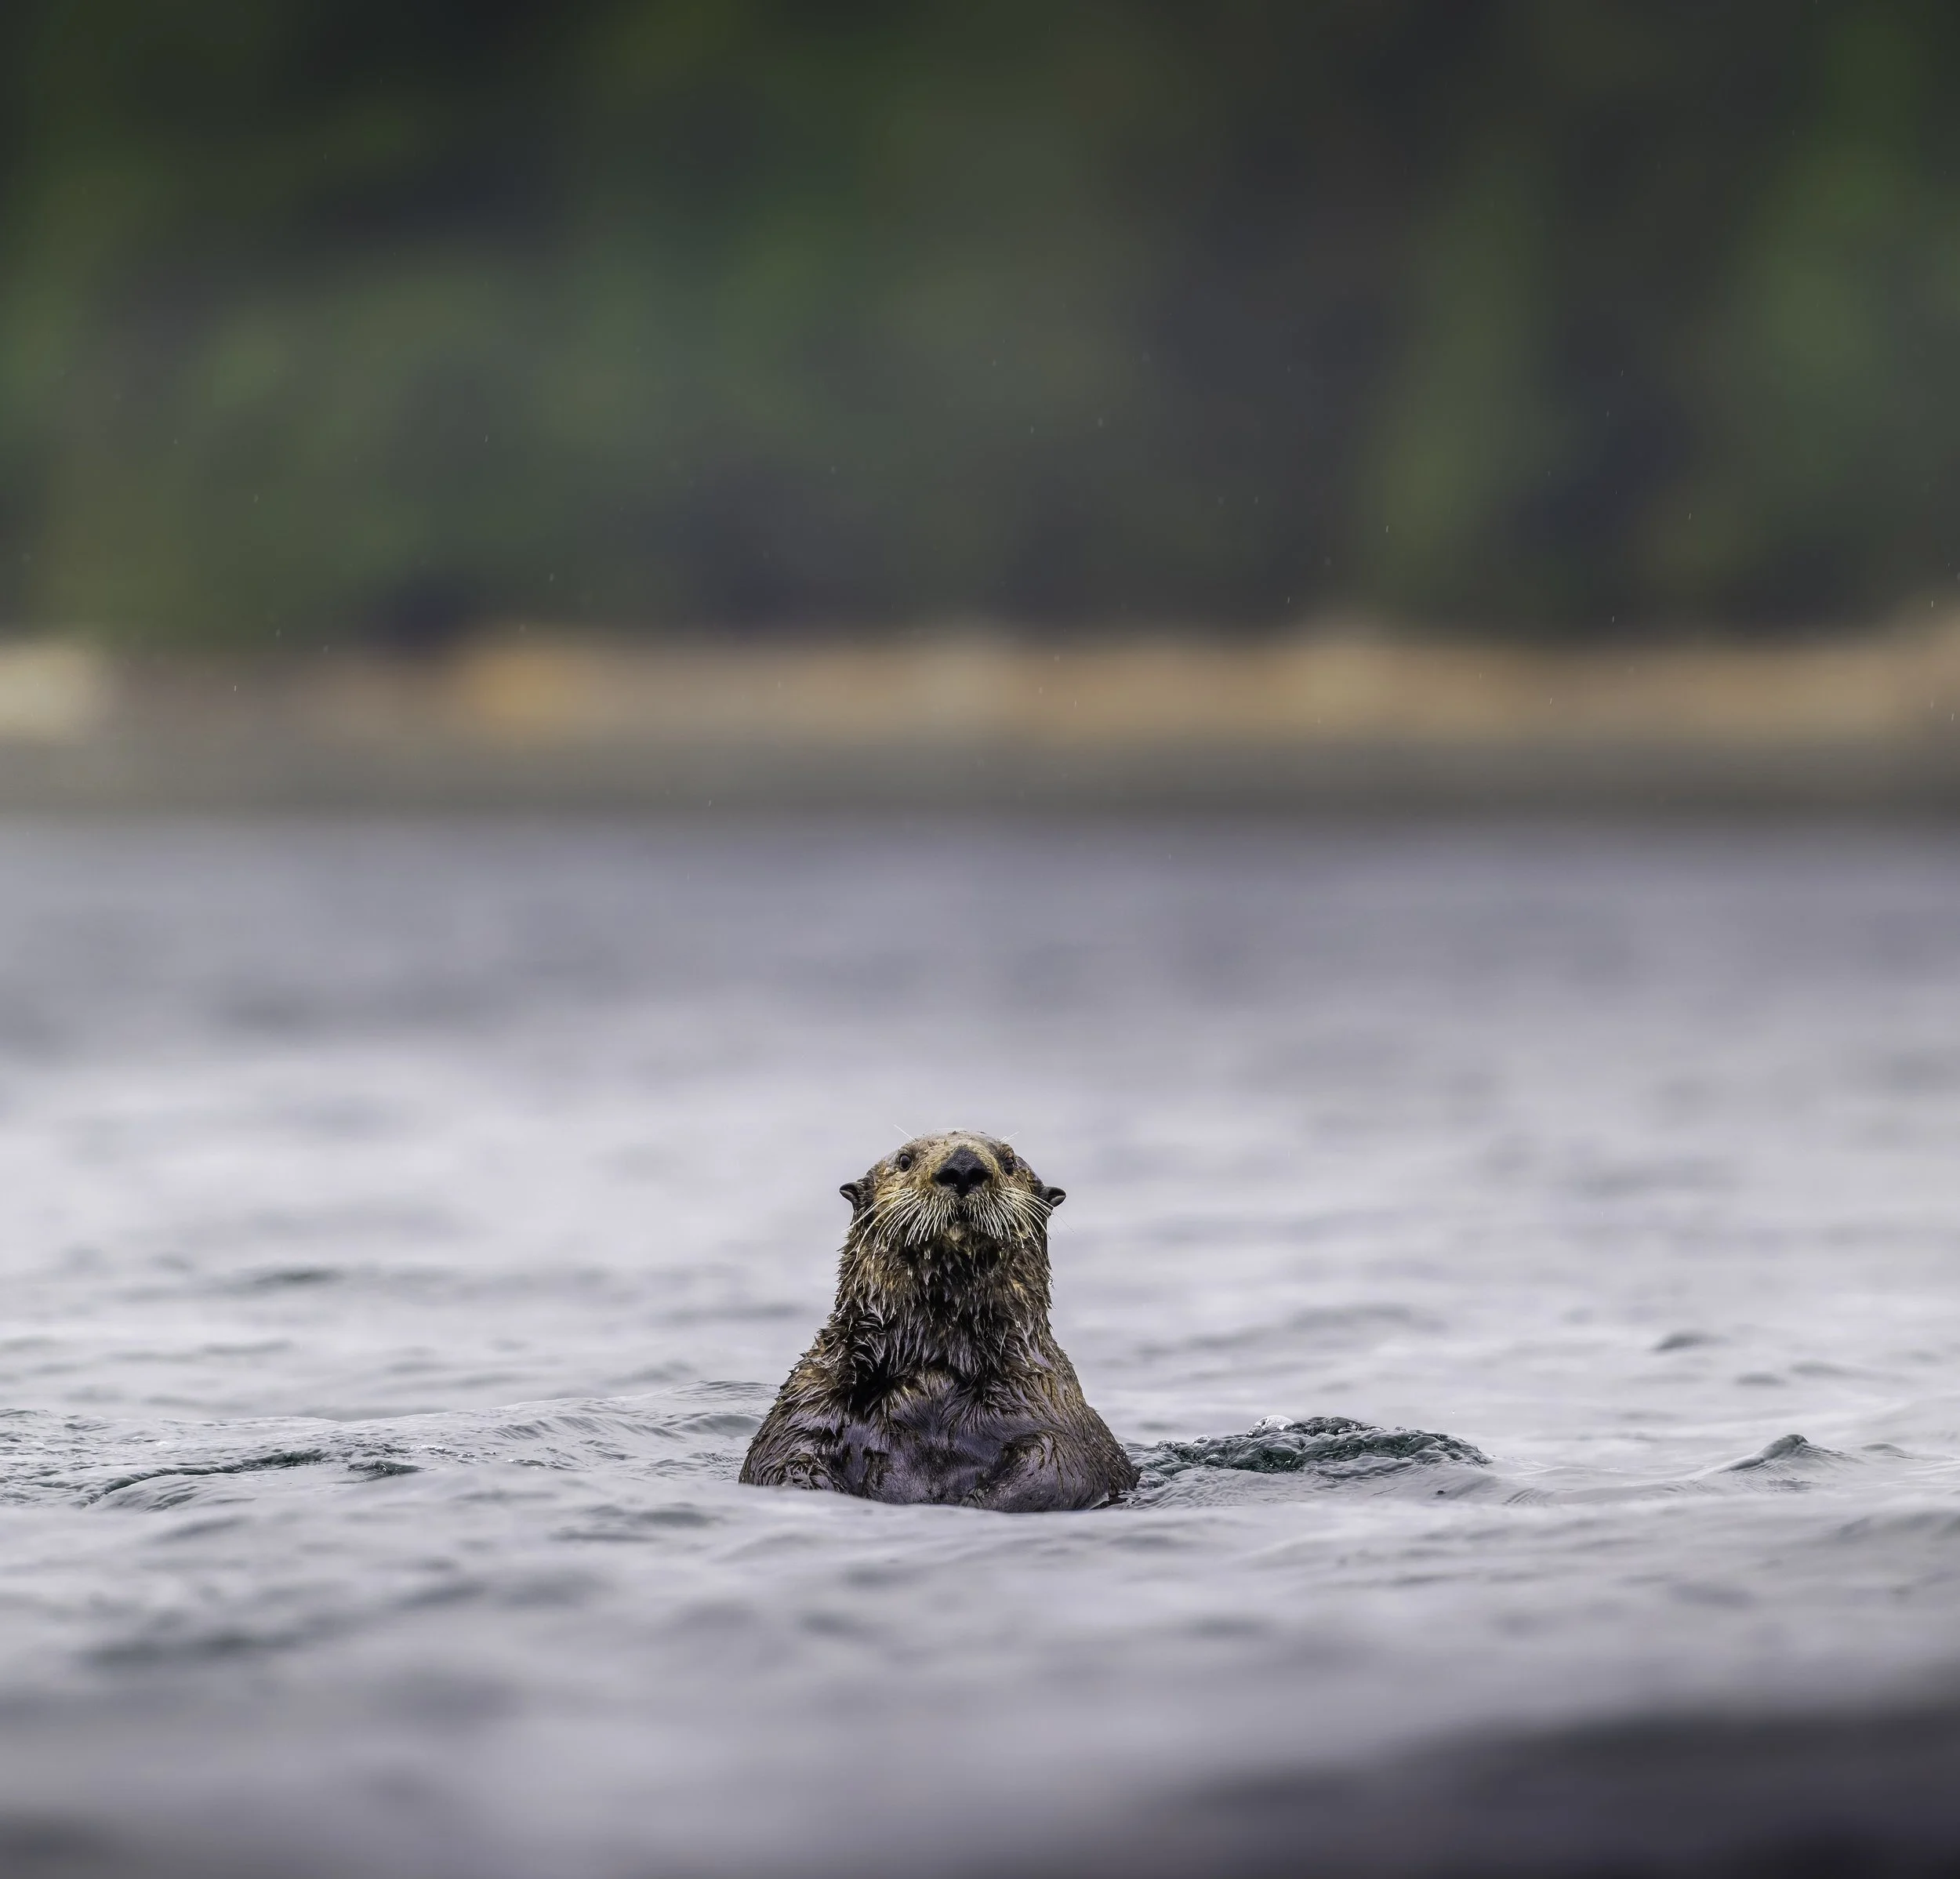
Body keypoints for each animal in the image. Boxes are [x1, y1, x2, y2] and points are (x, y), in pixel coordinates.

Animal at [741, 1132, 1136, 1511]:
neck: (937, 1364)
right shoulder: (812, 1397)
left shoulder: (1051, 1405)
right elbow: (784, 1460)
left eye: (1010, 1162)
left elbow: (1059, 1469)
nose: (963, 1165)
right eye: (904, 1159)